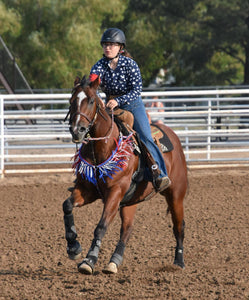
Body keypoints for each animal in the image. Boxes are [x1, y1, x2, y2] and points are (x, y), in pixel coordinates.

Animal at [62, 74, 187, 274]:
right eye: (71, 100)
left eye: (91, 100)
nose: (77, 130)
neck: (103, 148)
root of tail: (172, 135)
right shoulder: (87, 191)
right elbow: (67, 206)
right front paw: (73, 247)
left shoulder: (115, 192)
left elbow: (101, 226)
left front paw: (89, 260)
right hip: (131, 201)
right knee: (127, 229)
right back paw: (114, 262)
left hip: (176, 194)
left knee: (178, 226)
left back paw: (178, 262)